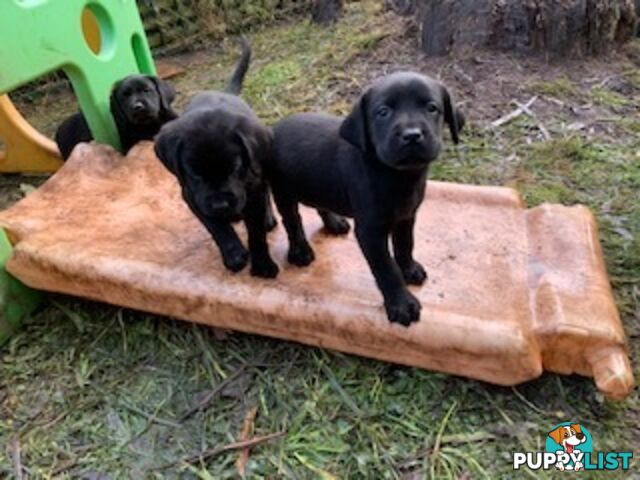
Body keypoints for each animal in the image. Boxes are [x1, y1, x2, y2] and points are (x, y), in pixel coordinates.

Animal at [156, 39, 280, 280]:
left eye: (235, 168)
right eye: (194, 173)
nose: (221, 205)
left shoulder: (253, 189)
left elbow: (256, 232)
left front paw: (262, 263)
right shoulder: (193, 196)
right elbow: (217, 226)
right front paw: (234, 254)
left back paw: (268, 218)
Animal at [270, 71, 464, 326]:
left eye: (432, 108)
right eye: (383, 112)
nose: (412, 135)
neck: (396, 176)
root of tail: (273, 128)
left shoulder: (406, 217)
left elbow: (405, 245)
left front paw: (409, 269)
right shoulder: (370, 232)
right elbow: (386, 268)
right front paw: (402, 304)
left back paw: (334, 222)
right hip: (284, 191)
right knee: (292, 221)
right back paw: (300, 251)